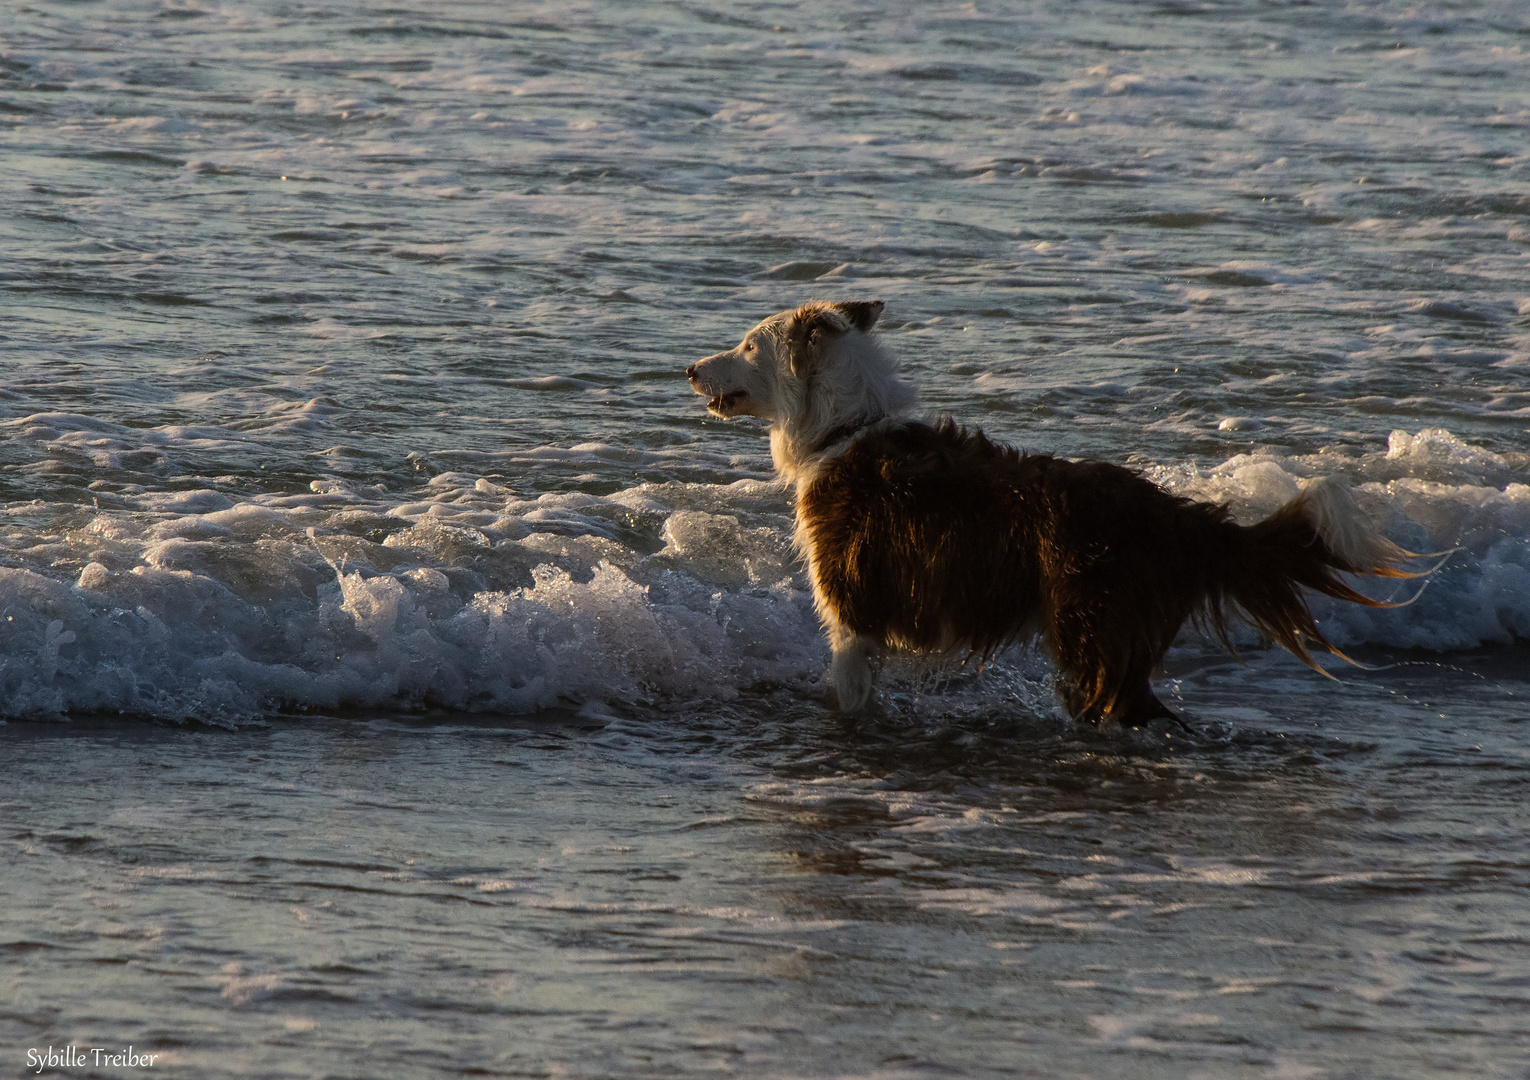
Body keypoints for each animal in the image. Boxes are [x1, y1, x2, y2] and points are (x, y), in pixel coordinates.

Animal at [688, 298, 1425, 722]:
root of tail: (1178, 514)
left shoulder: (853, 619)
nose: (690, 369)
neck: (842, 429)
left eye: (749, 345)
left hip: (1091, 634)